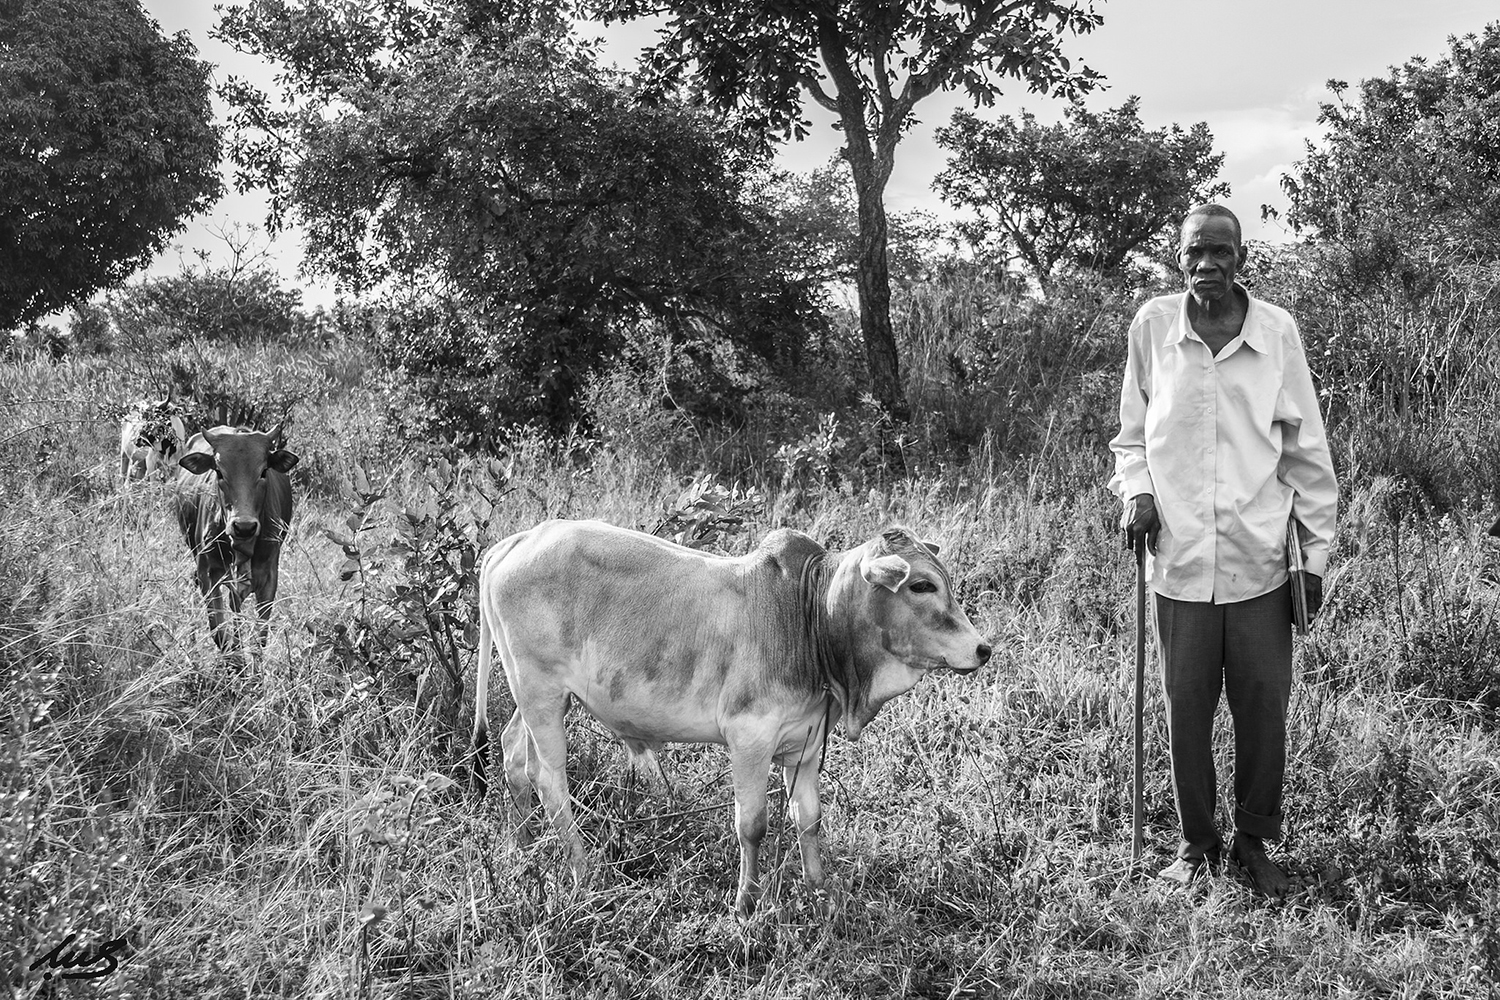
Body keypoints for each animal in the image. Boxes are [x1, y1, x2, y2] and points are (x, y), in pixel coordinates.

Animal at [174, 425, 300, 653]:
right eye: (219, 472)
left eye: (264, 471)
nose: (244, 527)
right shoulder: (208, 572)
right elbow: (220, 634)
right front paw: (235, 657)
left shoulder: (269, 576)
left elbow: (260, 638)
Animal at [468, 521, 984, 917]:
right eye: (922, 585)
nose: (983, 649)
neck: (808, 617)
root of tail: (517, 540)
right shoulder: (749, 739)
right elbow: (751, 825)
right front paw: (745, 903)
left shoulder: (806, 745)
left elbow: (809, 820)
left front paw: (820, 890)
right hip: (540, 692)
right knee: (549, 779)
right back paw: (583, 869)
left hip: (538, 697)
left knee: (513, 754)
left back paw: (523, 847)